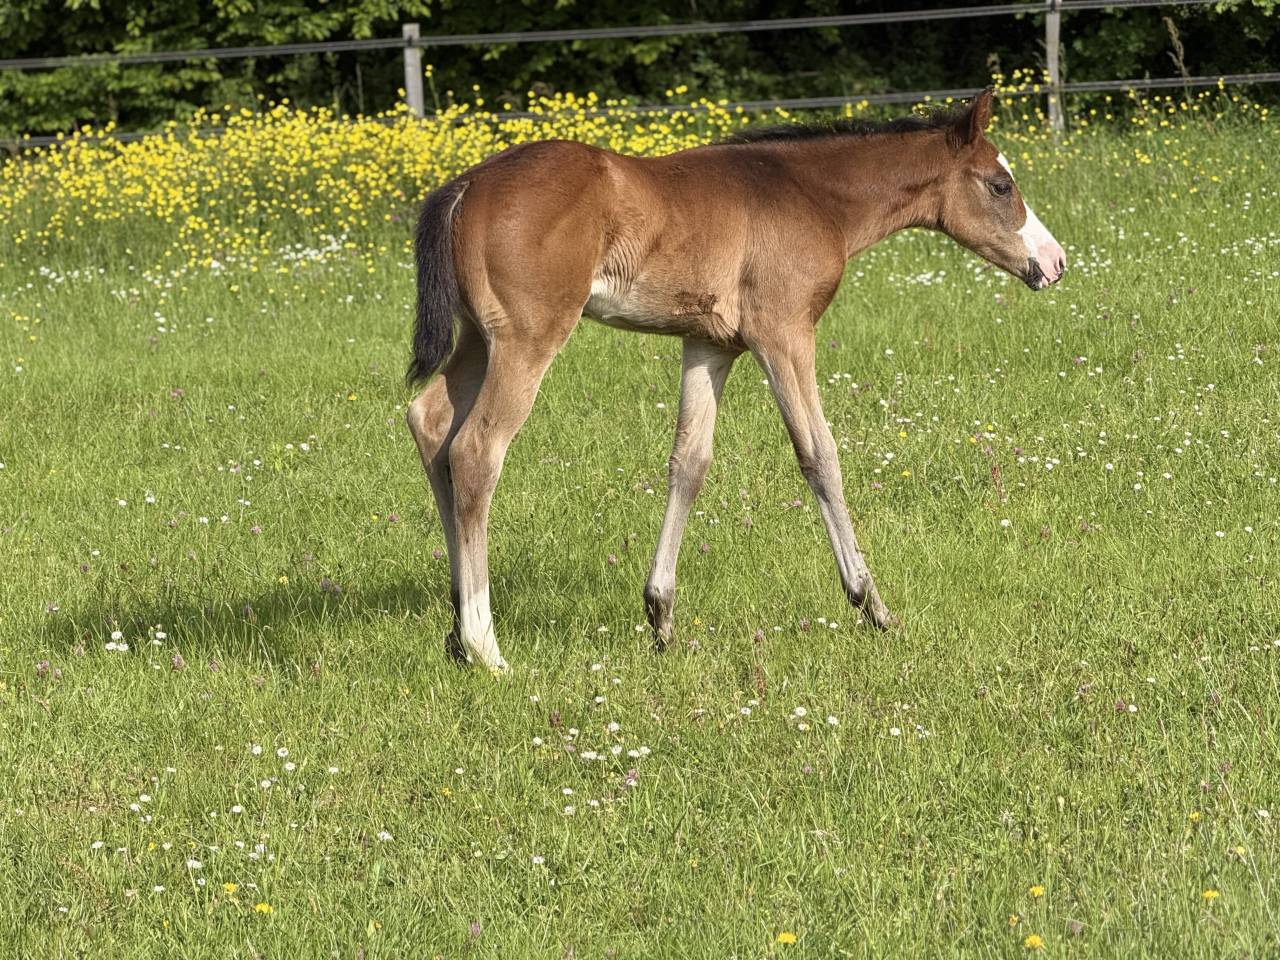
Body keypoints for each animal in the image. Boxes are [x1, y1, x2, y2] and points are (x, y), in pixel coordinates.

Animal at [405, 88, 1065, 671]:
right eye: (1000, 185)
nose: (1055, 263)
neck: (810, 196)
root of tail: (464, 186)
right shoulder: (784, 332)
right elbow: (819, 454)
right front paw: (871, 605)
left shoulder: (711, 345)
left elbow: (689, 462)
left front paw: (661, 616)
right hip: (528, 336)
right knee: (476, 449)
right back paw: (486, 647)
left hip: (479, 338)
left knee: (430, 422)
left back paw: (456, 634)